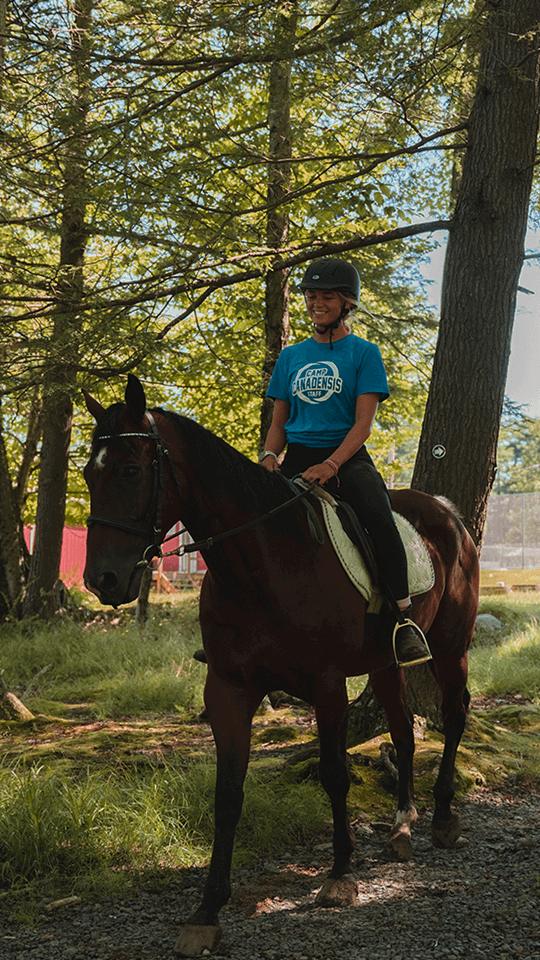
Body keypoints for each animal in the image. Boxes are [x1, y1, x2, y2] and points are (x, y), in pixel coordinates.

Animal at [83, 374, 479, 957]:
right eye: (91, 473)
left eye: (131, 470)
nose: (103, 581)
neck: (261, 562)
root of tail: (446, 511)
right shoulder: (227, 688)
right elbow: (227, 794)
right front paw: (207, 910)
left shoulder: (326, 683)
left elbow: (335, 774)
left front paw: (339, 874)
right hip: (386, 663)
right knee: (404, 730)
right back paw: (402, 828)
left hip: (451, 648)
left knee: (453, 715)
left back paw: (444, 817)